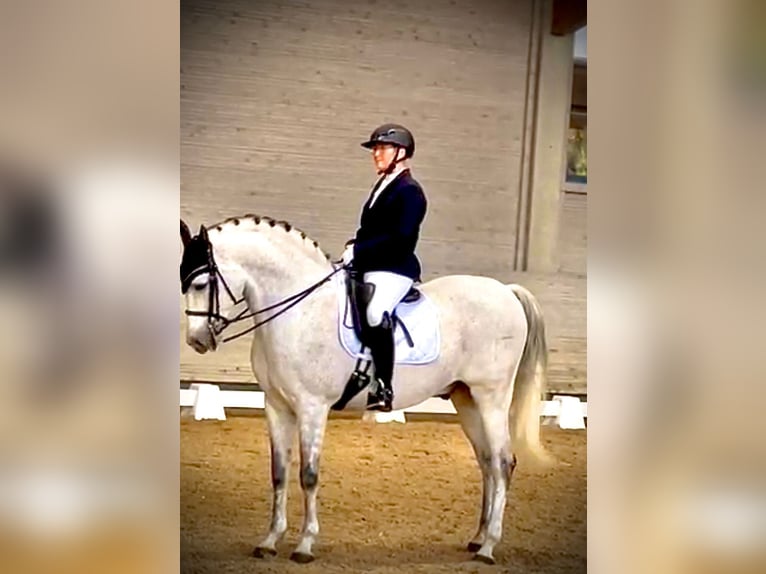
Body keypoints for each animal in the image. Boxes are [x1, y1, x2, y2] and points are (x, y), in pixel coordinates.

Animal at [180, 214, 552, 564]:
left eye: (200, 283)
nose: (196, 340)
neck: (299, 312)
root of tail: (506, 291)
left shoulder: (312, 407)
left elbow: (308, 474)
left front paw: (304, 545)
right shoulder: (276, 405)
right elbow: (279, 473)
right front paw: (270, 541)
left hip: (492, 397)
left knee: (503, 462)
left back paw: (489, 547)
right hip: (466, 399)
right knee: (487, 462)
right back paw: (478, 538)